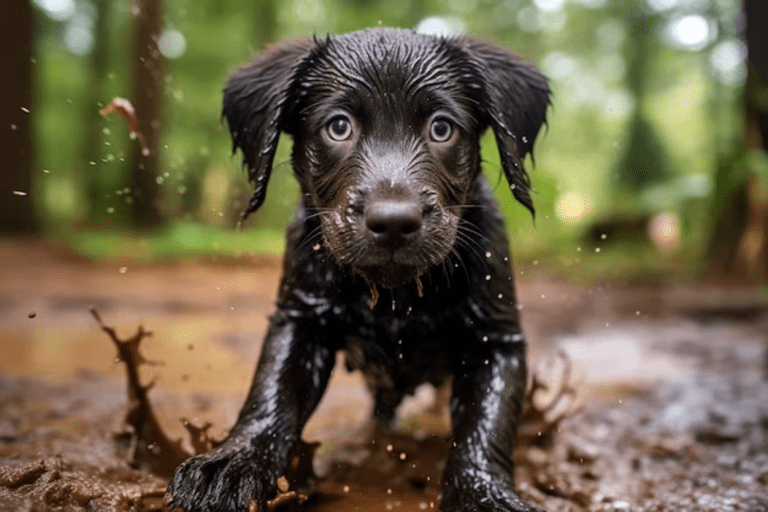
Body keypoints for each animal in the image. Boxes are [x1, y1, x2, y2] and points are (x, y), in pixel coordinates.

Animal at [169, 29, 552, 512]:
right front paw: (234, 460)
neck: (397, 298)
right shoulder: (301, 318)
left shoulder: (495, 339)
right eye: (339, 126)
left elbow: (485, 424)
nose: (393, 222)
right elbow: (271, 392)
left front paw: (483, 493)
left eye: (441, 128)